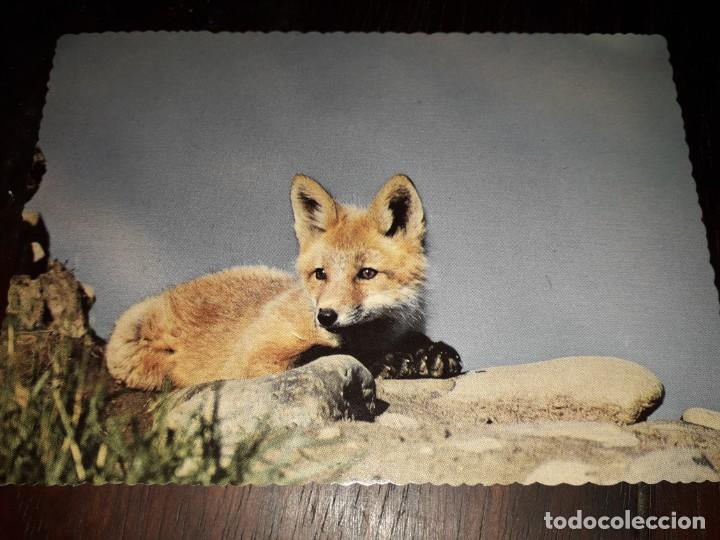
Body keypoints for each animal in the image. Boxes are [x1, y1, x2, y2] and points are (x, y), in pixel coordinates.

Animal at [106, 174, 462, 389]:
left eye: (367, 273)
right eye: (320, 274)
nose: (325, 315)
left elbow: (415, 340)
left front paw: (433, 353)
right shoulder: (253, 360)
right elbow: (322, 355)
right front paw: (389, 361)